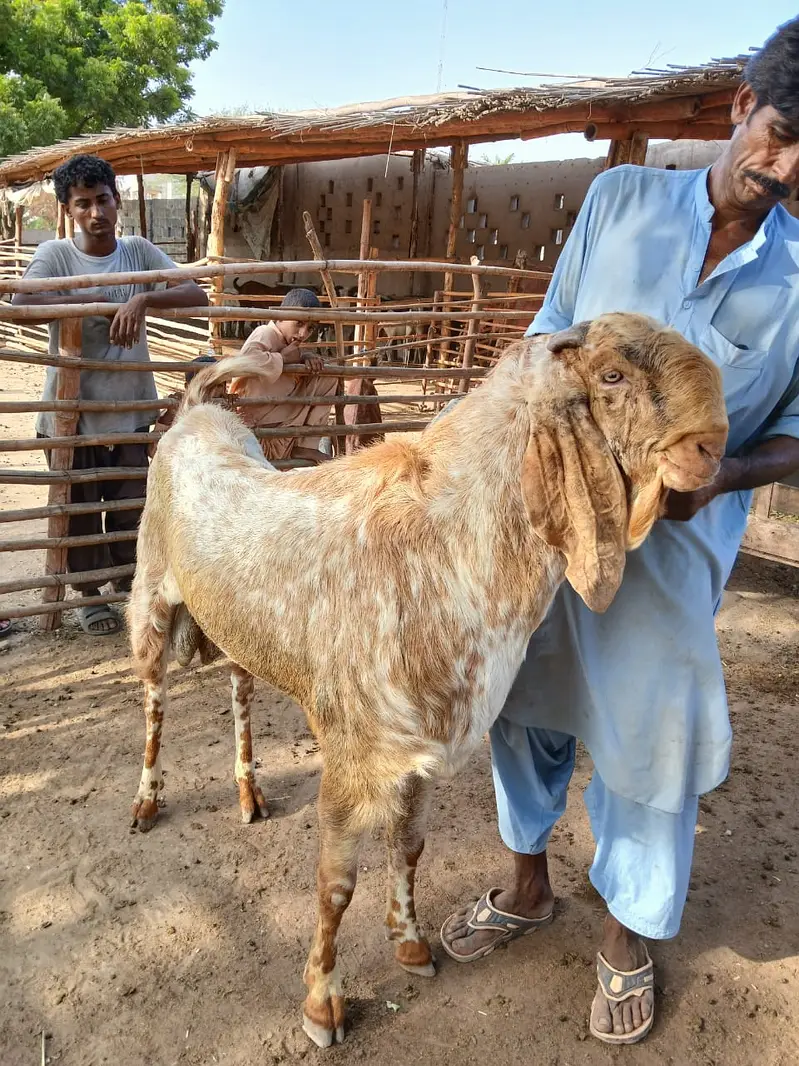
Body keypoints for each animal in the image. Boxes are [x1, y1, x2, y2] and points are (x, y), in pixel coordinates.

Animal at [127, 313, 728, 1048]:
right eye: (611, 375)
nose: (711, 445)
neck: (448, 547)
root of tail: (195, 411)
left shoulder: (418, 754)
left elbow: (409, 847)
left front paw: (411, 946)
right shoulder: (354, 755)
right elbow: (335, 884)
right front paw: (322, 1006)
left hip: (237, 630)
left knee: (239, 688)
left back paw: (249, 793)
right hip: (151, 601)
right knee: (154, 700)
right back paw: (147, 802)